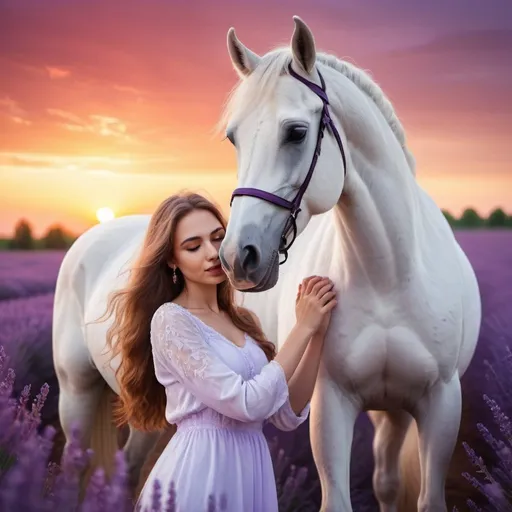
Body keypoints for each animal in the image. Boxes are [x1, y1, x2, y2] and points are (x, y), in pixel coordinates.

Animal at [218, 16, 482, 512]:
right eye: (233, 137)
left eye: (296, 132)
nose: (238, 257)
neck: (388, 275)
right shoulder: (330, 404)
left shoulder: (440, 404)